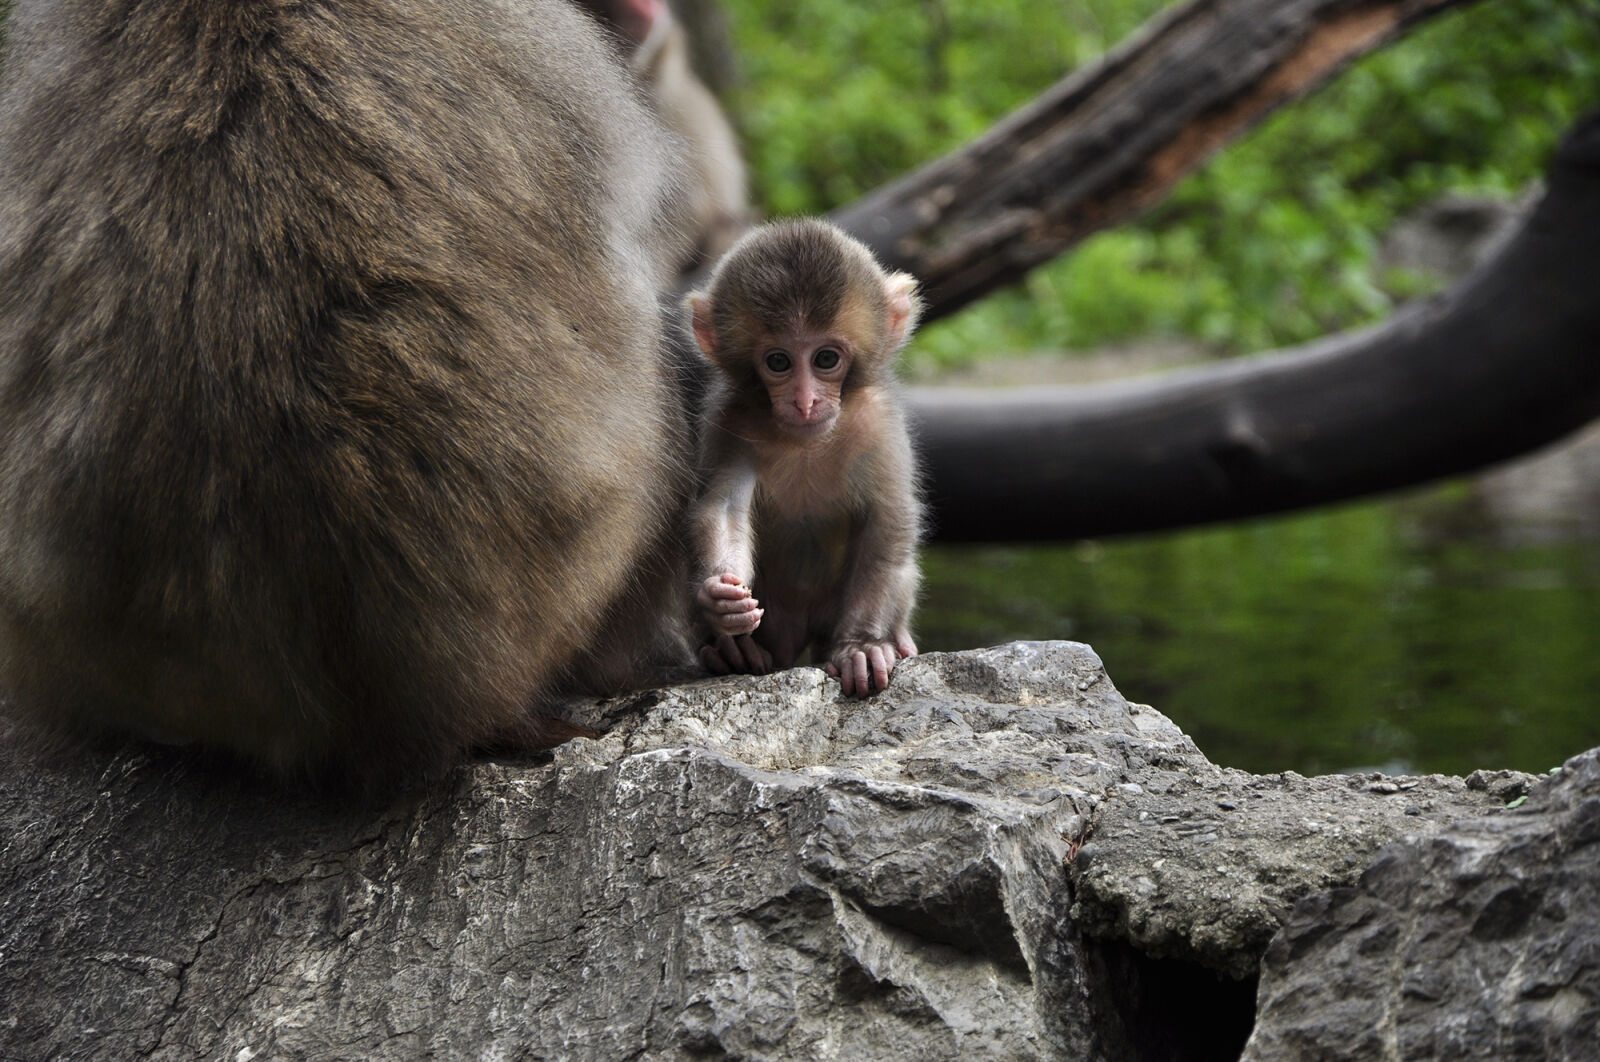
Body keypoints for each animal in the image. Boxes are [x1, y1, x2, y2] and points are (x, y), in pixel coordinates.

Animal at [688, 219, 928, 694]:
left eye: (826, 358)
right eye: (779, 362)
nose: (804, 402)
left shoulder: (878, 422)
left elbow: (888, 518)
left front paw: (861, 646)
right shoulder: (731, 419)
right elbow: (725, 507)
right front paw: (720, 601)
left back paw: (895, 638)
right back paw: (735, 653)